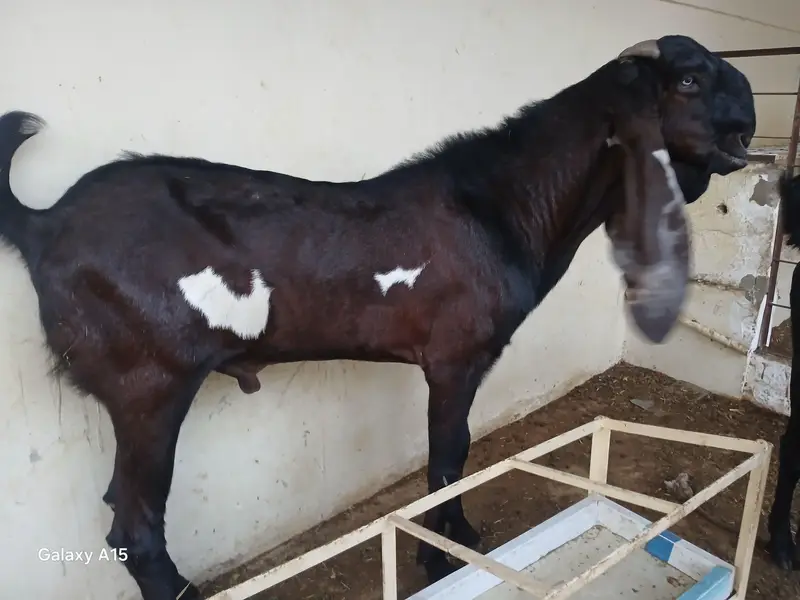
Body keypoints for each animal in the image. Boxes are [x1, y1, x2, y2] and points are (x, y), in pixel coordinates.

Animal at [0, 34, 754, 599]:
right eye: (689, 81)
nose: (748, 119)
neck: (498, 204)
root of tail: (44, 225)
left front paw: (457, 539)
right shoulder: (454, 358)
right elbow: (450, 453)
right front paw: (443, 554)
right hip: (148, 385)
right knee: (134, 524)